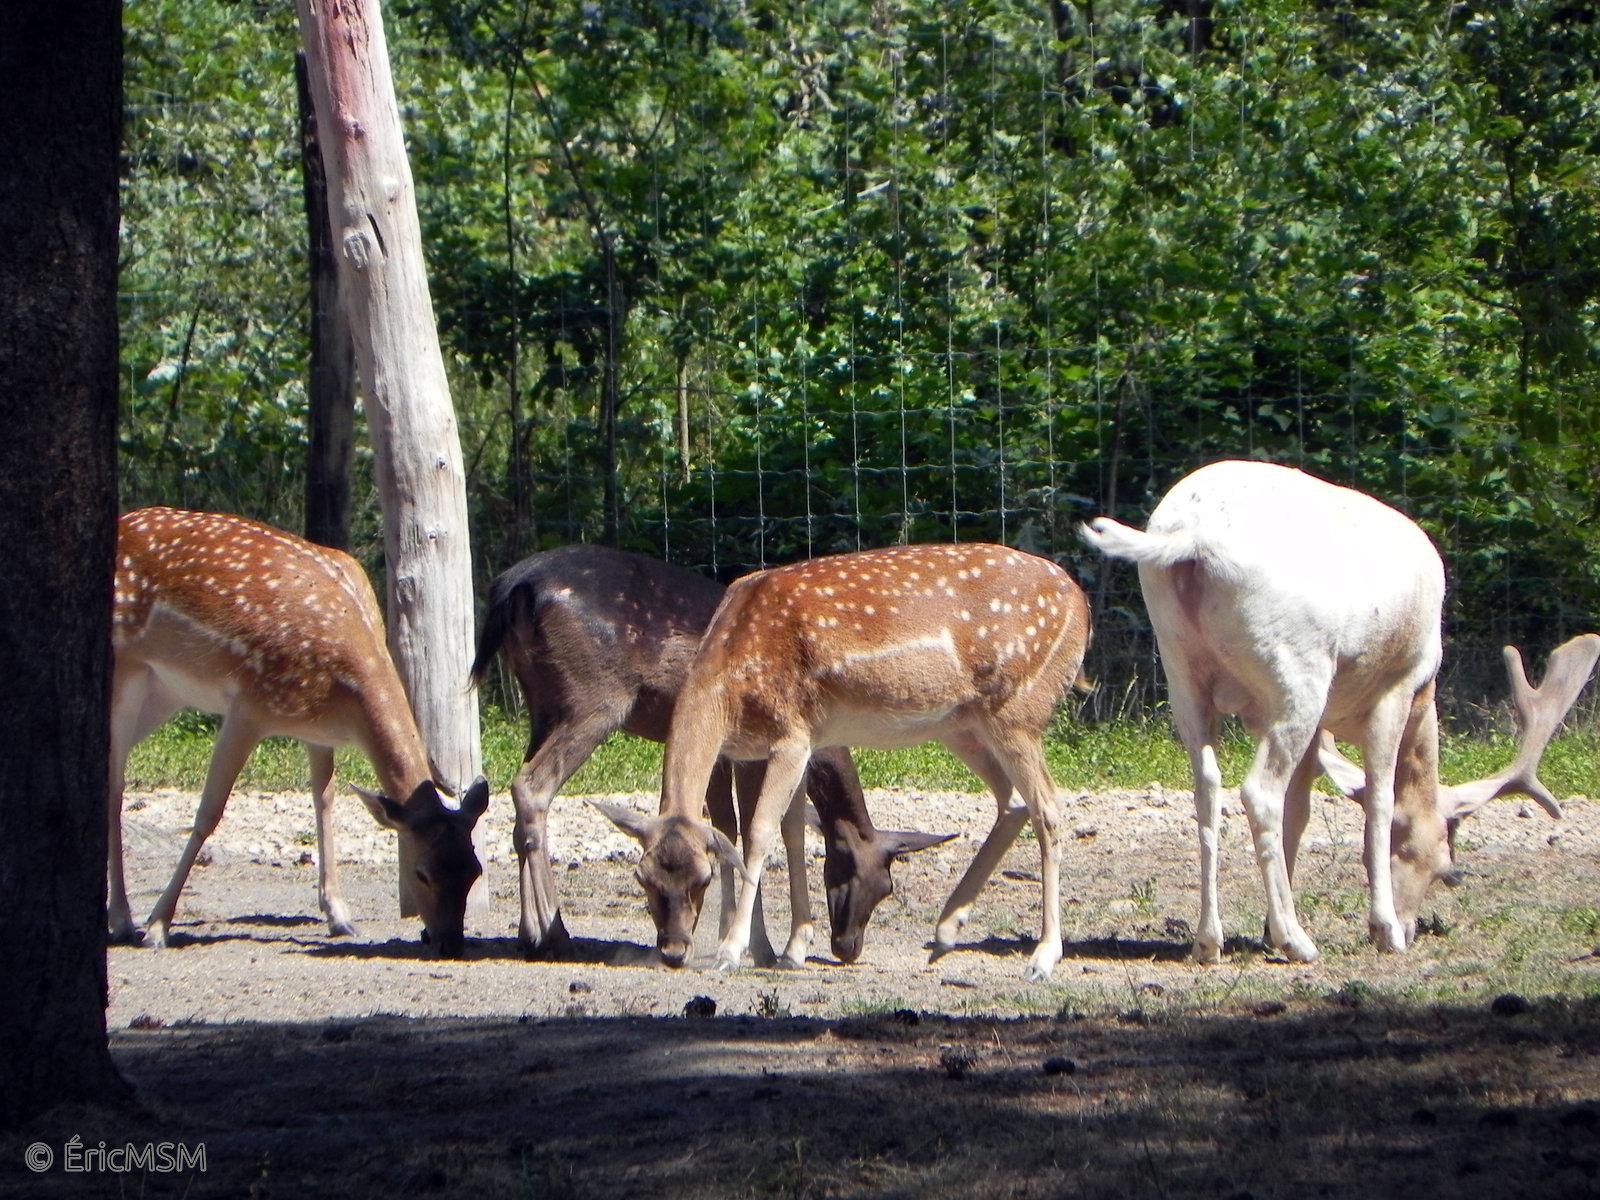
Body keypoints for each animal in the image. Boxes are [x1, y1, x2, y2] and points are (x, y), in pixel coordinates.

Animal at [109, 507, 489, 956]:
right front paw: (158, 927)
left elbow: (324, 802)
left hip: (164, 691)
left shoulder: (317, 731)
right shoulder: (250, 706)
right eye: (421, 873)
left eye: (474, 870)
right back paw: (123, 921)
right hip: (127, 669)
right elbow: (208, 814)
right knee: (114, 783)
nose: (450, 943)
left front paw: (339, 916)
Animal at [468, 544, 951, 966]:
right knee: (533, 786)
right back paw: (551, 933)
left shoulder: (728, 755)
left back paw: (530, 933)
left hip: (542, 705)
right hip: (593, 701)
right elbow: (762, 828)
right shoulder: (759, 750)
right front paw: (769, 946)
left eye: (885, 888)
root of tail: (512, 588)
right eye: (850, 873)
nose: (848, 947)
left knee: (519, 791)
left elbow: (731, 826)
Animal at [597, 543, 1093, 981]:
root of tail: (1081, 603)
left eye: (700, 879)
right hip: (964, 727)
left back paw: (1042, 958)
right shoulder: (777, 746)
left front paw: (730, 953)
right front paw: (792, 950)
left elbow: (759, 833)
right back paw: (946, 931)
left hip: (1017, 709)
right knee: (1013, 802)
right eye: (642, 878)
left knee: (1048, 808)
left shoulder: (792, 733)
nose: (673, 951)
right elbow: (789, 834)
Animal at [1080, 459, 1597, 964]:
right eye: (1444, 868)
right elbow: (1381, 799)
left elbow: (1301, 808)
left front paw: (1267, 930)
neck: (1426, 695)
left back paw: (1210, 942)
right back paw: (1299, 942)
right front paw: (1383, 930)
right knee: (1259, 792)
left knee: (1208, 787)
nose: (1412, 926)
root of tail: (1191, 537)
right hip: (1297, 671)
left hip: (1181, 667)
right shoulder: (1396, 687)